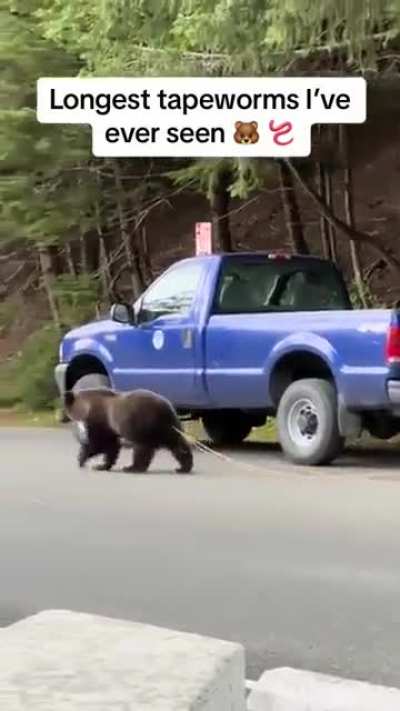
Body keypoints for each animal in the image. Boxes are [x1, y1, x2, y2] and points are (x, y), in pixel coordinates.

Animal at [64, 388, 193, 474]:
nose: (65, 417)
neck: (87, 406)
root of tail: (165, 409)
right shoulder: (110, 427)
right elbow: (111, 446)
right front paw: (102, 465)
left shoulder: (100, 419)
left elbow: (98, 443)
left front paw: (82, 458)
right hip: (167, 427)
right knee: (177, 445)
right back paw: (183, 467)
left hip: (143, 424)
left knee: (142, 448)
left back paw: (132, 468)